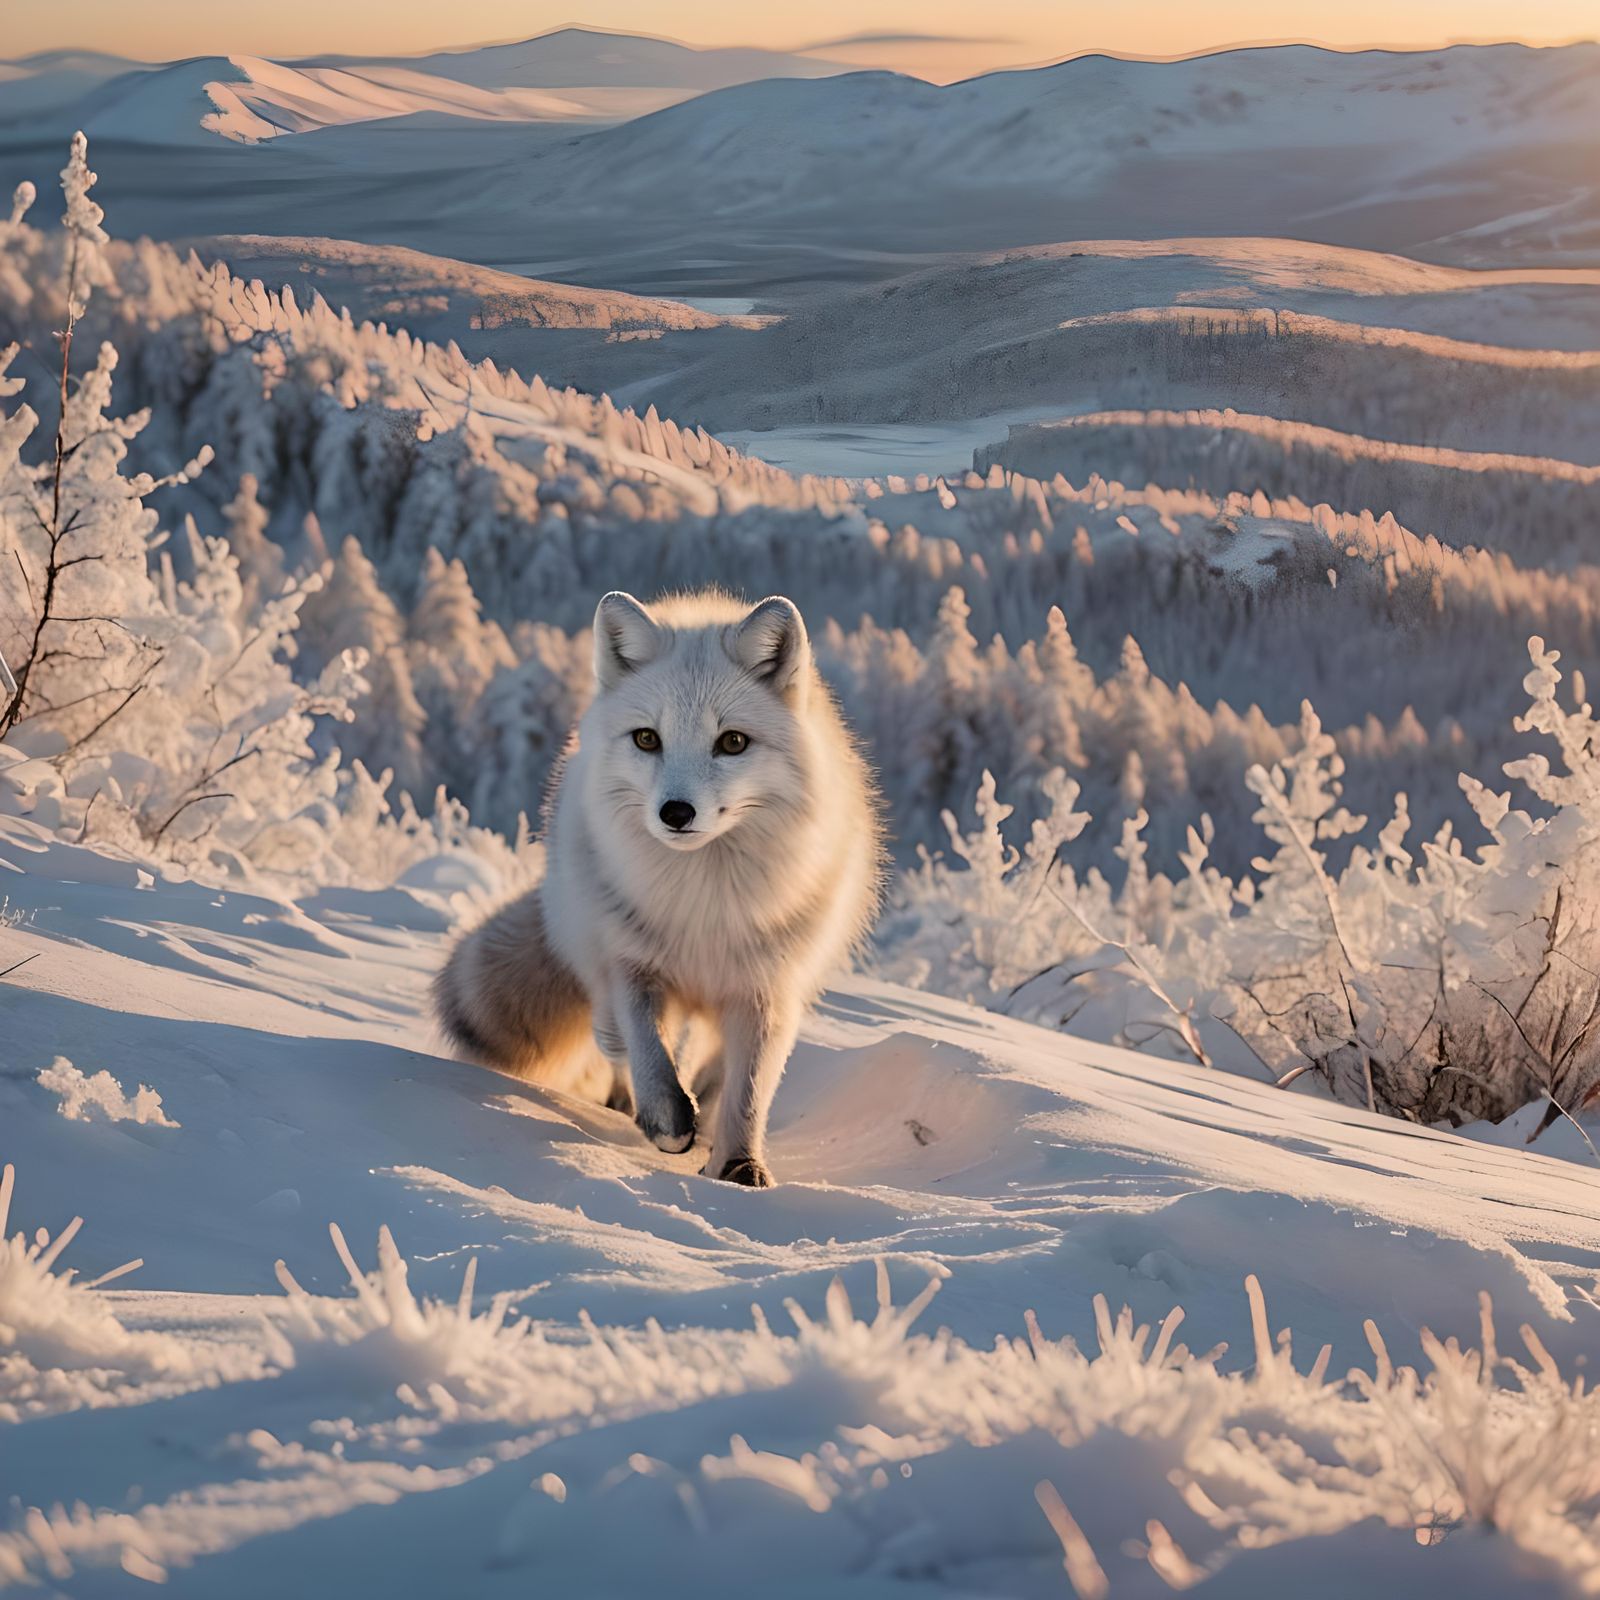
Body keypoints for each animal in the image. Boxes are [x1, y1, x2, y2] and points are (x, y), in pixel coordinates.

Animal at [433, 588, 884, 1186]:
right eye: (647, 738)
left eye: (732, 742)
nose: (675, 813)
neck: (703, 905)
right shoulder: (632, 962)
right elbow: (647, 1051)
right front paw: (667, 1119)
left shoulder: (767, 988)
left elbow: (748, 1089)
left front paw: (738, 1164)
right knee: (615, 1041)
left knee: (709, 1066)